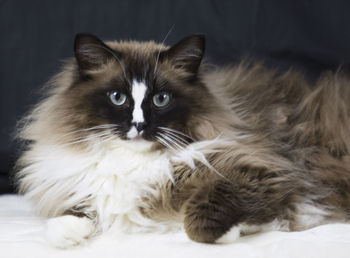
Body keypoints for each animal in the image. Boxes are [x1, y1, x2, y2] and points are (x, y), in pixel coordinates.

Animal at [15, 32, 350, 248]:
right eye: (117, 97)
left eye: (161, 99)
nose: (139, 124)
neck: (132, 162)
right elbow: (63, 221)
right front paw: (71, 235)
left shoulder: (264, 169)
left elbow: (199, 221)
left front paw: (231, 232)